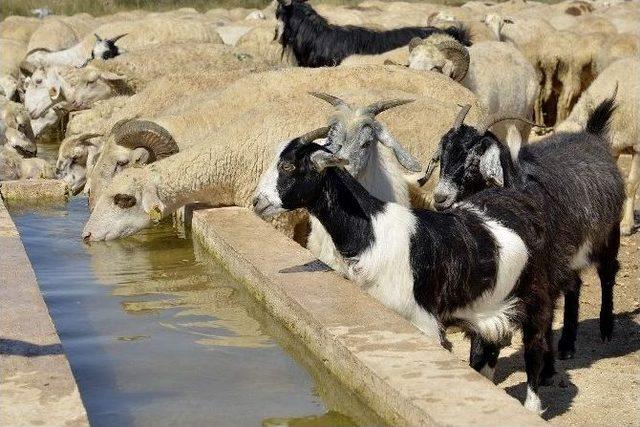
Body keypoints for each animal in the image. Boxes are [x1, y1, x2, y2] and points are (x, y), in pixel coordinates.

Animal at [252, 125, 556, 412]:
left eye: (288, 166)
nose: (257, 202)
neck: (372, 230)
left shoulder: (422, 320)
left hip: (536, 296)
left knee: (535, 348)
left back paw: (532, 406)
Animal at [424, 98, 624, 362]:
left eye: (474, 159)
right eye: (443, 154)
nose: (440, 197)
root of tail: (593, 136)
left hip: (608, 236)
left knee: (607, 273)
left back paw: (606, 330)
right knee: (575, 284)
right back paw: (567, 345)